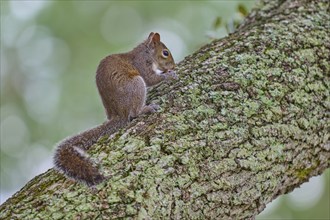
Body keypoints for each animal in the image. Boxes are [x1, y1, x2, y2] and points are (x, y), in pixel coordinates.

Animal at [53, 32, 178, 186]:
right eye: (165, 53)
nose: (174, 66)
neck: (146, 52)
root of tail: (118, 114)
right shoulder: (142, 64)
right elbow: (151, 79)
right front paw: (169, 75)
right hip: (136, 85)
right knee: (133, 113)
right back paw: (146, 109)